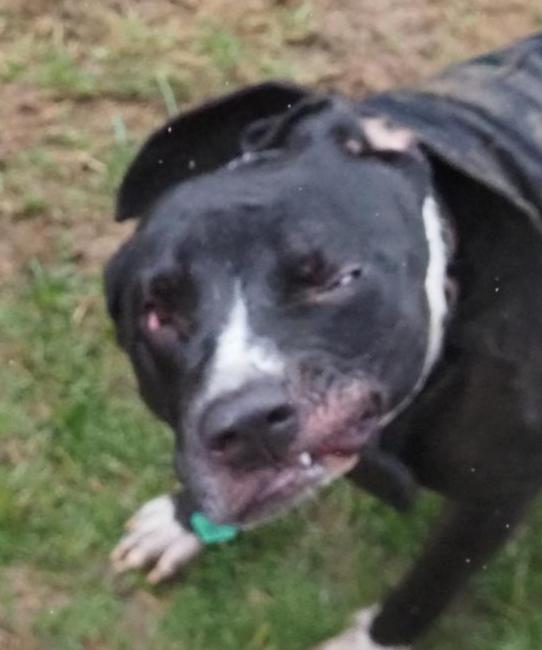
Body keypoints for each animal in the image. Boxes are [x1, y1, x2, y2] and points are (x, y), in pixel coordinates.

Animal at [105, 34, 542, 648]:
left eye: (336, 279)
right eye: (157, 315)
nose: (249, 424)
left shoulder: (497, 493)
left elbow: (431, 583)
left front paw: (372, 639)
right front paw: (179, 521)